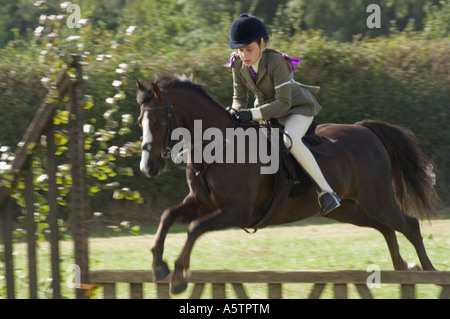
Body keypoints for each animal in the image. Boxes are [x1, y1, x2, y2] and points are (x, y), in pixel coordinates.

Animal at [135, 75, 442, 296]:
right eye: (140, 121)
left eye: (160, 122)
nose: (148, 168)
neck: (218, 147)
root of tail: (365, 130)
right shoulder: (201, 203)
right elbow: (168, 216)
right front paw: (159, 266)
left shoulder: (237, 211)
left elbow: (194, 228)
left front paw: (178, 275)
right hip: (347, 209)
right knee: (386, 227)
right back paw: (403, 267)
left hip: (377, 199)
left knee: (409, 225)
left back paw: (431, 274)